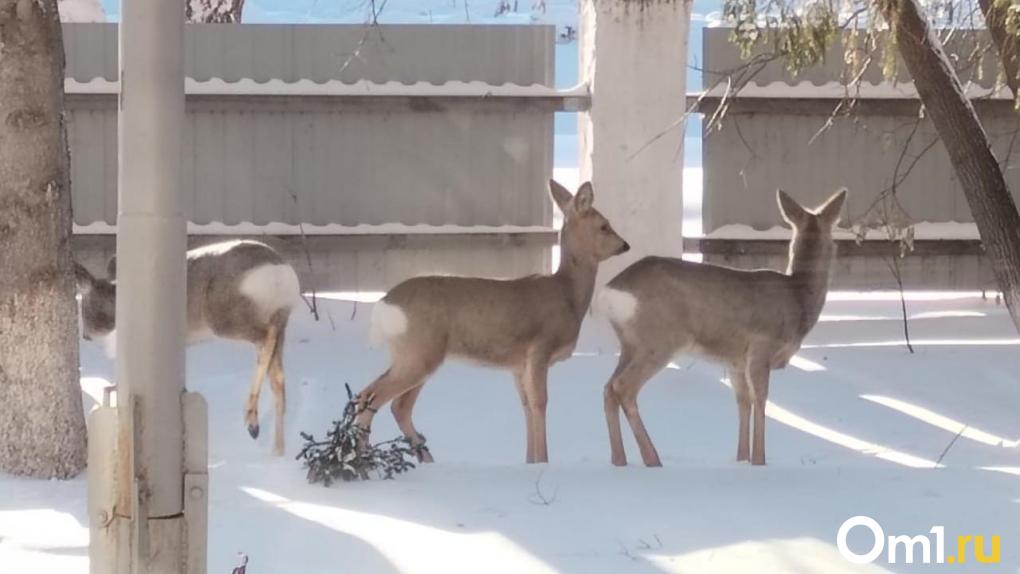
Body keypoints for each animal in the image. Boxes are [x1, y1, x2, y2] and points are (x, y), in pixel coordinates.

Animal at [73, 238, 299, 454]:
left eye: (83, 307)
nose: (85, 335)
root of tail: (279, 273)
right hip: (281, 316)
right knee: (278, 376)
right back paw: (276, 449)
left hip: (225, 317)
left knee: (265, 339)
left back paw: (251, 419)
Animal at [359, 179, 628, 462]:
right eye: (604, 225)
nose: (625, 245)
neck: (567, 295)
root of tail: (383, 304)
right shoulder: (539, 348)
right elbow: (540, 403)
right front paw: (543, 461)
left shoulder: (518, 364)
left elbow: (526, 406)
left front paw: (530, 461)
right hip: (420, 352)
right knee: (375, 398)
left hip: (411, 354)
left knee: (391, 403)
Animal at [595, 188, 844, 466]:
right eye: (834, 236)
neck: (798, 297)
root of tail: (610, 292)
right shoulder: (761, 347)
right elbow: (761, 400)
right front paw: (760, 460)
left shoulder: (735, 361)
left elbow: (743, 402)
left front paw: (742, 458)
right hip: (659, 339)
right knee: (623, 387)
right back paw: (652, 459)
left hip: (630, 343)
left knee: (607, 388)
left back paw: (619, 460)